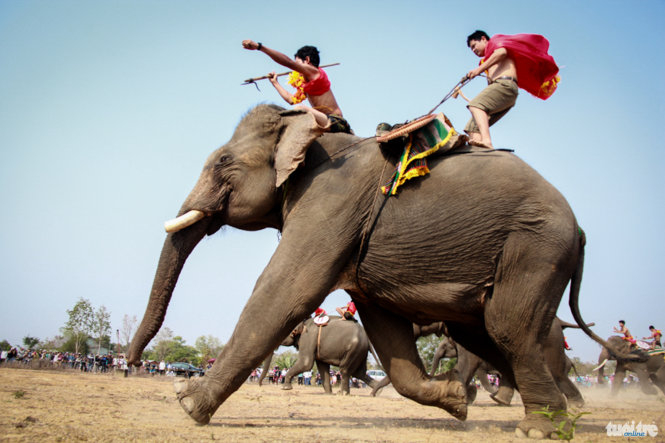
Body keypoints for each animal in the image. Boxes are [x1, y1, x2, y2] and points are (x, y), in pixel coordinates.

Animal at [128, 104, 632, 440]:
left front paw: (188, 404)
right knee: (485, 334)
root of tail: (580, 229)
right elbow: (383, 322)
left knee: (508, 328)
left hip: (535, 247)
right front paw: (453, 401)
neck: (309, 132)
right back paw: (549, 416)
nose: (132, 364)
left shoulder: (331, 201)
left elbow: (285, 291)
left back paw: (541, 429)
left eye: (223, 163)